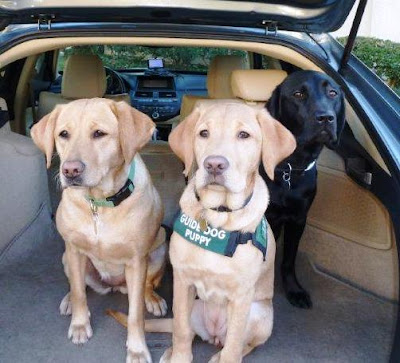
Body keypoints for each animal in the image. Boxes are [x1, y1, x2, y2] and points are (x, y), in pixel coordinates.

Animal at [31, 98, 167, 362]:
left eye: (99, 134)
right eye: (63, 134)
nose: (70, 170)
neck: (100, 203)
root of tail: (111, 284)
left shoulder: (137, 261)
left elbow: (135, 314)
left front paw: (137, 349)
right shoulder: (74, 250)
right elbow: (79, 292)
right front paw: (79, 324)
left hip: (159, 249)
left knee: (147, 286)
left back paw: (152, 299)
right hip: (67, 258)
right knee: (78, 285)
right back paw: (69, 301)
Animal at [159, 100, 296, 363]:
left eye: (244, 135)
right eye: (203, 133)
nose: (214, 164)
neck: (218, 216)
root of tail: (214, 334)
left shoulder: (242, 296)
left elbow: (233, 345)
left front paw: (226, 356)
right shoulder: (183, 282)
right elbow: (180, 329)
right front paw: (179, 356)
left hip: (261, 314)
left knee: (241, 344)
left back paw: (218, 356)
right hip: (196, 306)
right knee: (188, 332)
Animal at [262, 71, 344, 310]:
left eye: (333, 93)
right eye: (298, 94)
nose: (326, 118)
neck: (290, 167)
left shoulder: (298, 220)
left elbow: (289, 259)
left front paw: (294, 289)